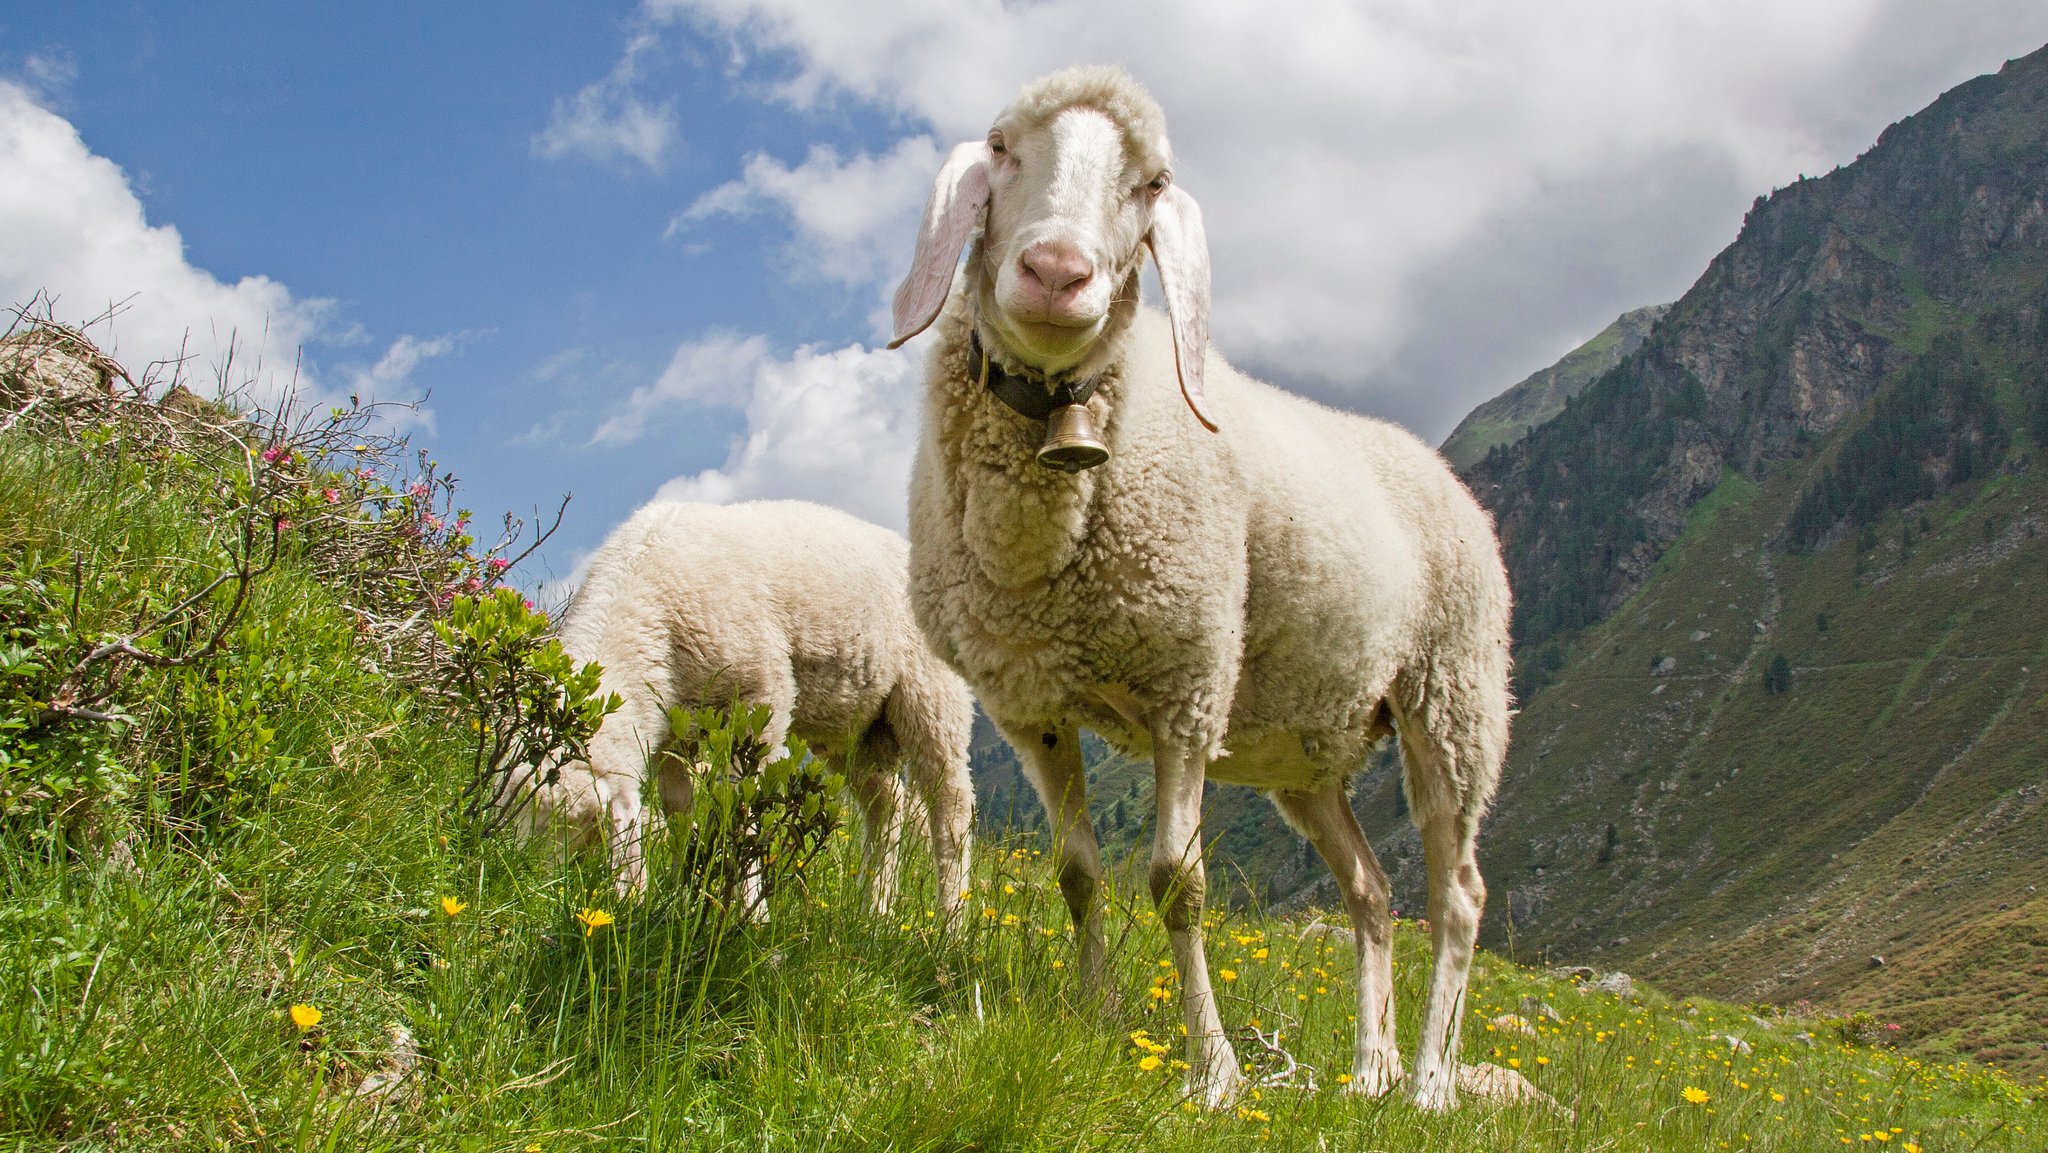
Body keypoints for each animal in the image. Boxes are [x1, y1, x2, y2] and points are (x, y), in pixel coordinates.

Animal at [499, 501, 970, 925]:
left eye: (576, 826)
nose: (525, 887)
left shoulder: (762, 698)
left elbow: (742, 808)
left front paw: (749, 914)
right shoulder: (670, 730)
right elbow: (678, 810)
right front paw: (682, 893)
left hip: (933, 695)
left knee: (951, 807)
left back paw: (952, 924)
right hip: (852, 724)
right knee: (885, 804)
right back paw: (874, 911)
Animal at [888, 67, 1515, 1114]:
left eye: (1153, 183)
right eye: (1003, 146)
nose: (1055, 272)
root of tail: (1444, 473)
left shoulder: (1186, 681)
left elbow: (1177, 883)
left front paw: (1213, 1069)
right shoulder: (1032, 704)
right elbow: (1076, 872)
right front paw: (1095, 1016)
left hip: (1455, 694)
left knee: (1457, 894)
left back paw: (1430, 1080)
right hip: (1307, 751)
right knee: (1373, 891)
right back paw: (1369, 1068)